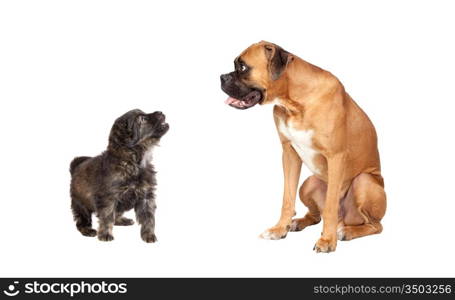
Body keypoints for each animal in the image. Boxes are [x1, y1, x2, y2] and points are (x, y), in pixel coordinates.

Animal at [70, 109, 170, 243]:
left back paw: (122, 220)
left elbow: (148, 218)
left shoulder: (146, 196)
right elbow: (107, 217)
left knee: (116, 215)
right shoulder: (108, 197)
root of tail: (75, 168)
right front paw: (105, 234)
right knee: (81, 221)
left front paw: (148, 235)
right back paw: (87, 230)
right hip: (81, 205)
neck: (132, 162)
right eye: (142, 119)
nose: (160, 112)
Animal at [219, 41, 386, 253]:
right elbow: (287, 198)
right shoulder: (289, 153)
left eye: (242, 67)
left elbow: (330, 206)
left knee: (375, 225)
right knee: (315, 216)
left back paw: (346, 231)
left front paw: (327, 240)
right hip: (309, 184)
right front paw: (279, 229)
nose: (221, 77)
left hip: (364, 181)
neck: (295, 102)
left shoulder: (336, 156)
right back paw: (298, 223)